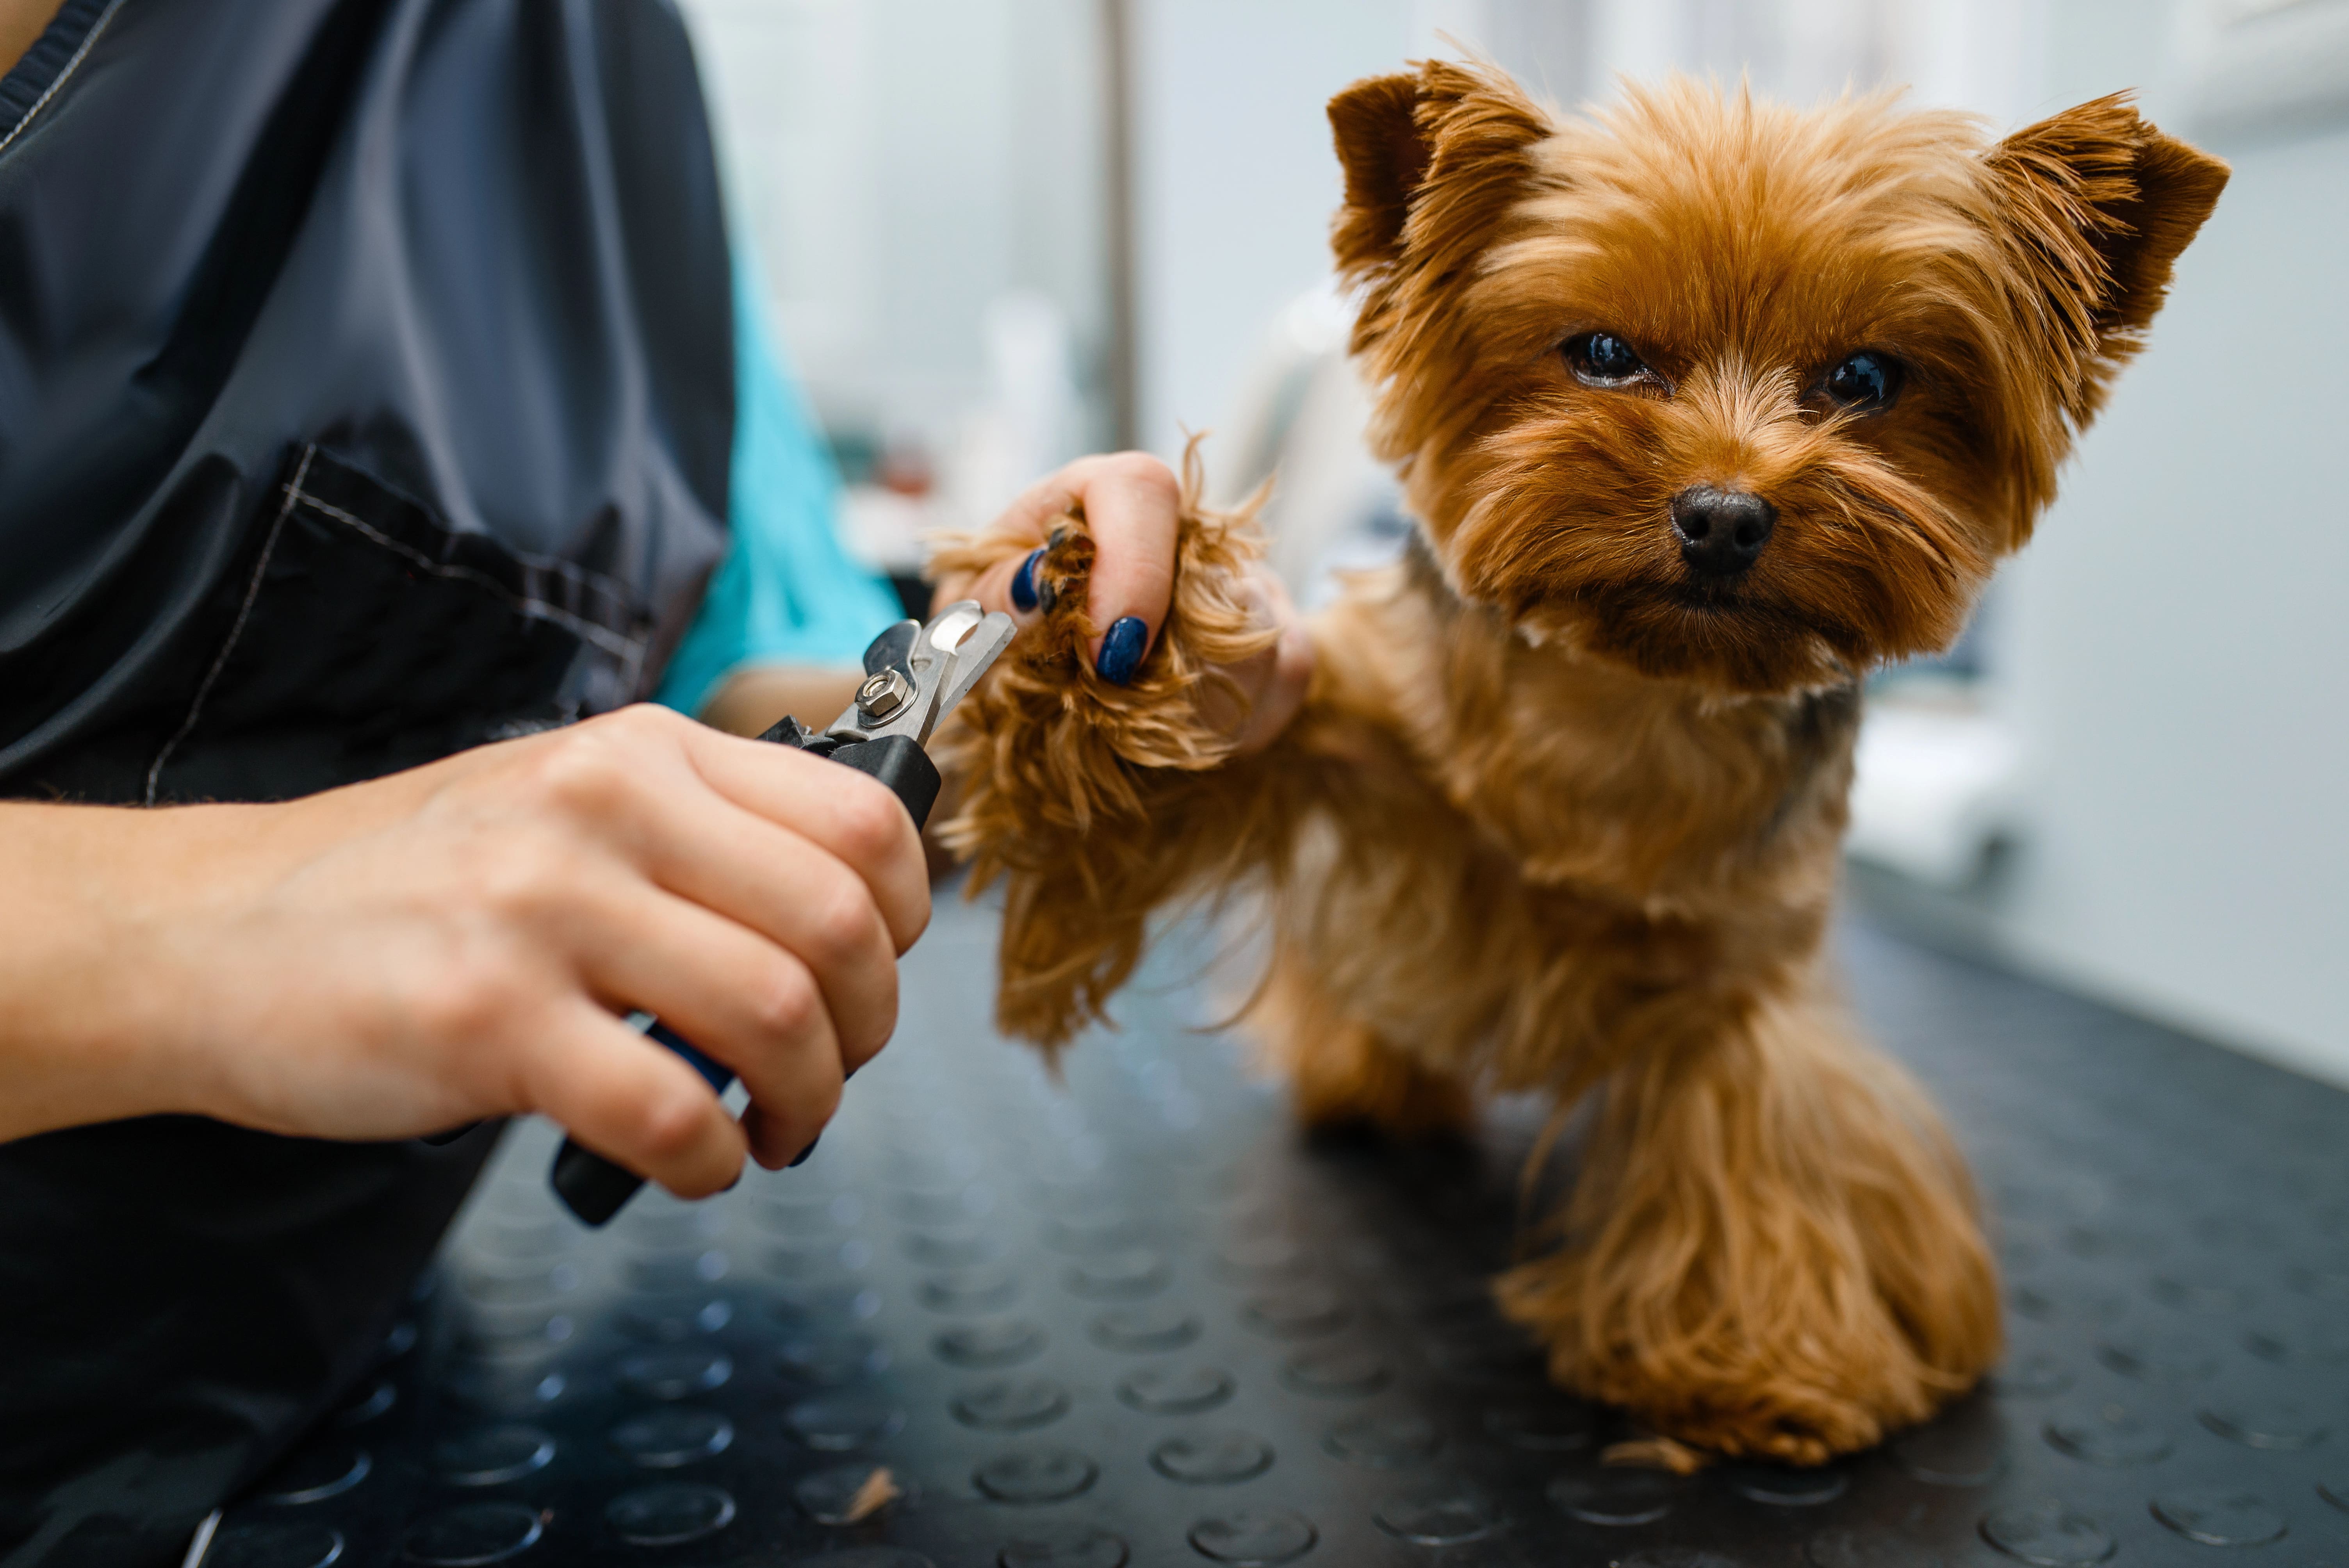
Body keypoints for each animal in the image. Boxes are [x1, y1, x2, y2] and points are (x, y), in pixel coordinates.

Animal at [930, 61, 2217, 1455]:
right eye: (1604, 354)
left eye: (1865, 378)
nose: (1725, 514)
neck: (1628, 700)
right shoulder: (1340, 751)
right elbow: (1193, 758)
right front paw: (1091, 623)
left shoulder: (1733, 969)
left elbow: (1752, 1137)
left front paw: (1754, 1358)